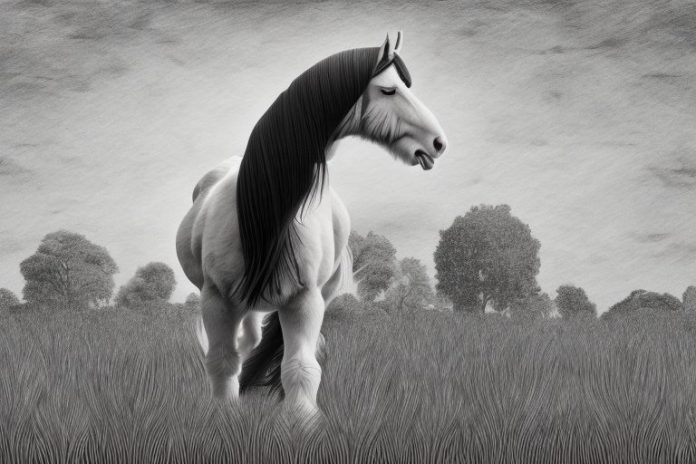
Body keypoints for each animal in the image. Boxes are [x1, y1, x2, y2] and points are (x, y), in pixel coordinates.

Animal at [176, 31, 447, 415]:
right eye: (389, 90)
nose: (438, 143)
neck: (268, 215)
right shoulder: (217, 300)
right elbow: (222, 361)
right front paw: (224, 416)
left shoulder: (304, 302)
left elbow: (300, 369)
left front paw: (303, 421)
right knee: (246, 342)